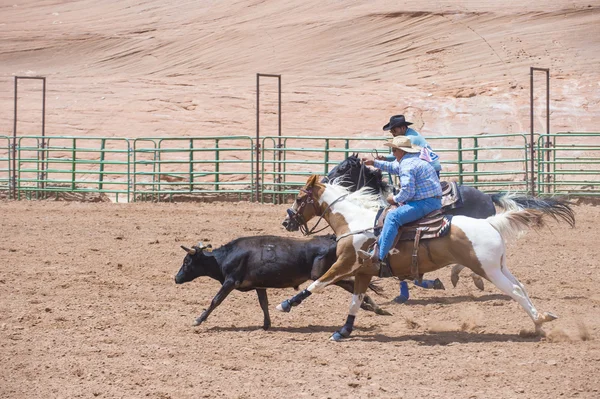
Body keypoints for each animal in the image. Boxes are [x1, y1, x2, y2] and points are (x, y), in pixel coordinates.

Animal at [278, 177, 568, 342]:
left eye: (299, 198)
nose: (286, 222)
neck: (356, 223)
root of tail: (490, 222)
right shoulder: (363, 272)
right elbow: (355, 301)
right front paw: (344, 331)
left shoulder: (346, 264)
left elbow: (317, 284)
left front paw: (287, 304)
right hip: (499, 266)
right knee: (521, 287)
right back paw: (542, 319)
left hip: (489, 269)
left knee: (515, 291)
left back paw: (538, 321)